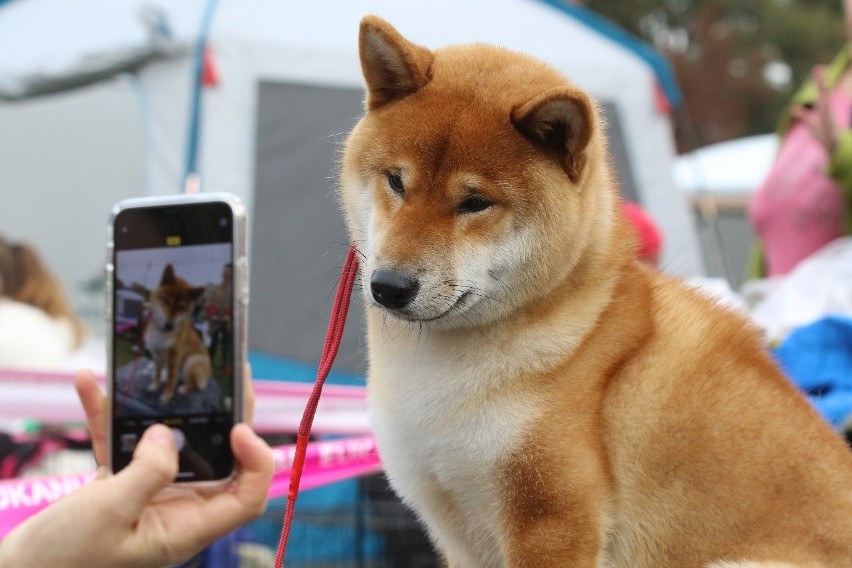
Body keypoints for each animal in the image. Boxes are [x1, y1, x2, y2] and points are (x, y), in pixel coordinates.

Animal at [144, 264, 212, 406]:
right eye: (167, 302)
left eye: (181, 307)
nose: (169, 325)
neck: (162, 334)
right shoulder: (156, 354)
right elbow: (157, 373)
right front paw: (155, 385)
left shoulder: (174, 356)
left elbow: (170, 379)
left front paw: (166, 396)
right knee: (180, 378)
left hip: (191, 362)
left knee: (196, 385)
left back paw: (184, 388)